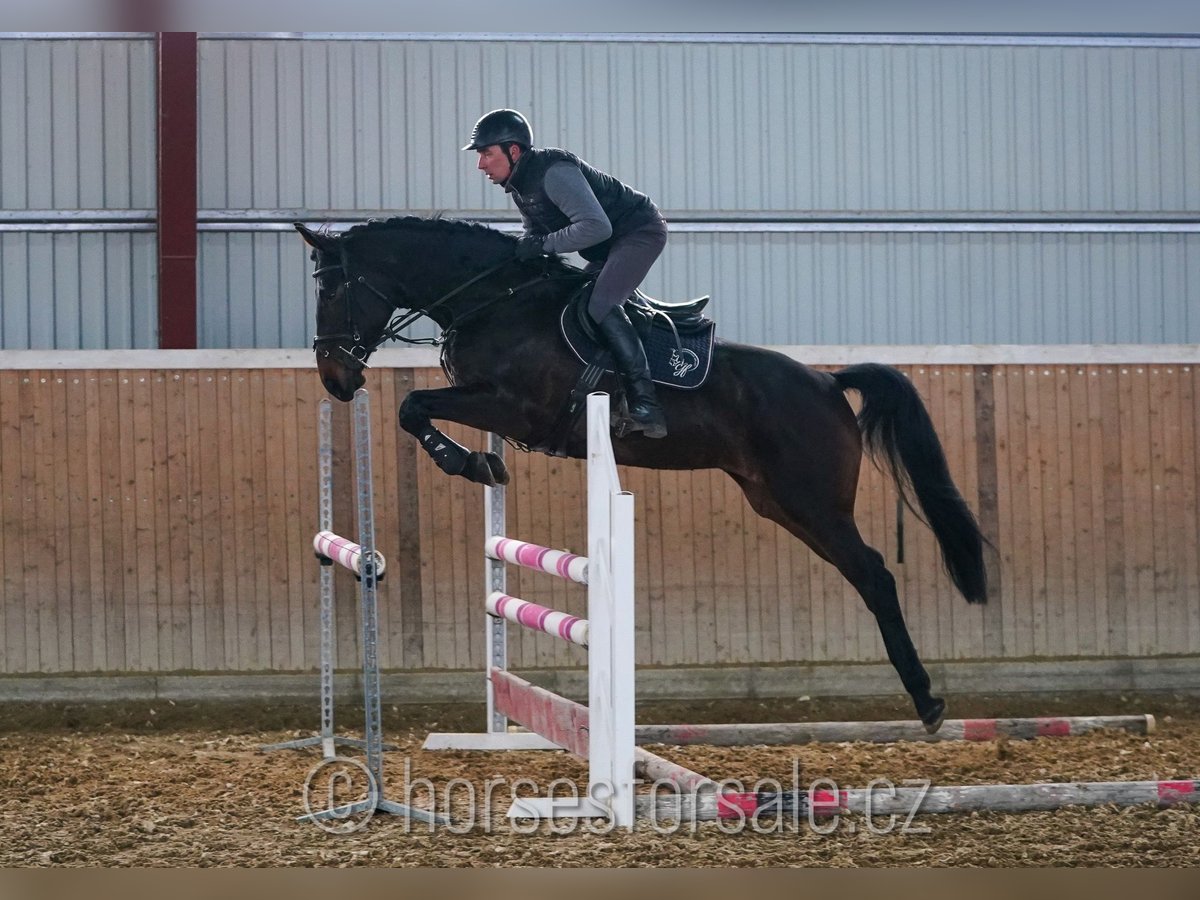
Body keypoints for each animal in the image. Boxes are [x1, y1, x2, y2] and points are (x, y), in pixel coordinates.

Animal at [297, 217, 984, 734]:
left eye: (332, 290)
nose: (336, 379)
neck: (494, 303)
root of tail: (828, 381)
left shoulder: (514, 406)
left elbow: (414, 406)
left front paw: (469, 461)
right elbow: (416, 410)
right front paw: (482, 463)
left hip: (813, 502)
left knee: (875, 574)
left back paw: (928, 702)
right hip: (780, 503)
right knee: (864, 573)